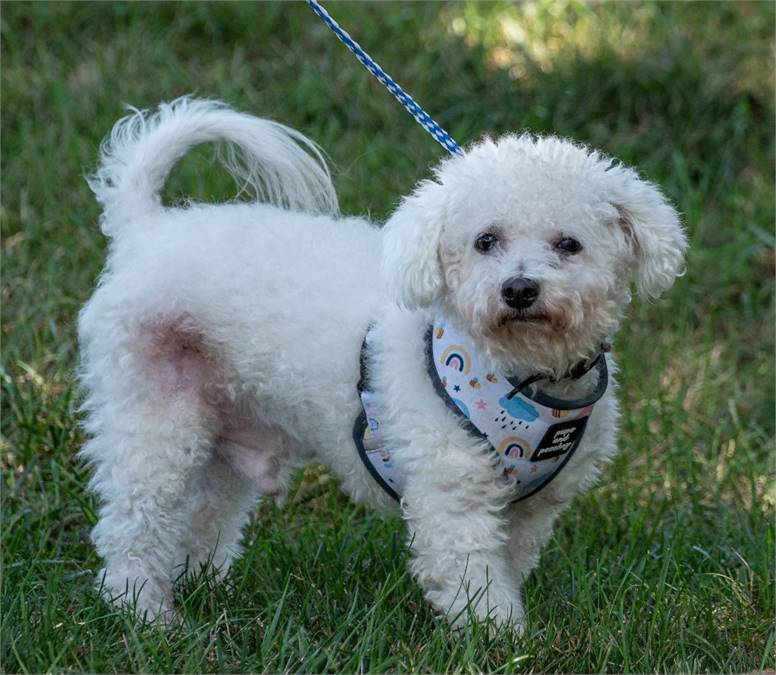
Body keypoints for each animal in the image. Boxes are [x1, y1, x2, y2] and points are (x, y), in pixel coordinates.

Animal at [79, 97, 684, 632]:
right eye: (485, 240)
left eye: (569, 244)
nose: (518, 289)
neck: (522, 380)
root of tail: (144, 230)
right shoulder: (451, 494)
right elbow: (474, 580)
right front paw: (499, 640)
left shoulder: (534, 511)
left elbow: (509, 565)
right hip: (154, 420)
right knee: (131, 528)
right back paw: (146, 612)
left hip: (224, 436)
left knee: (205, 518)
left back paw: (204, 588)